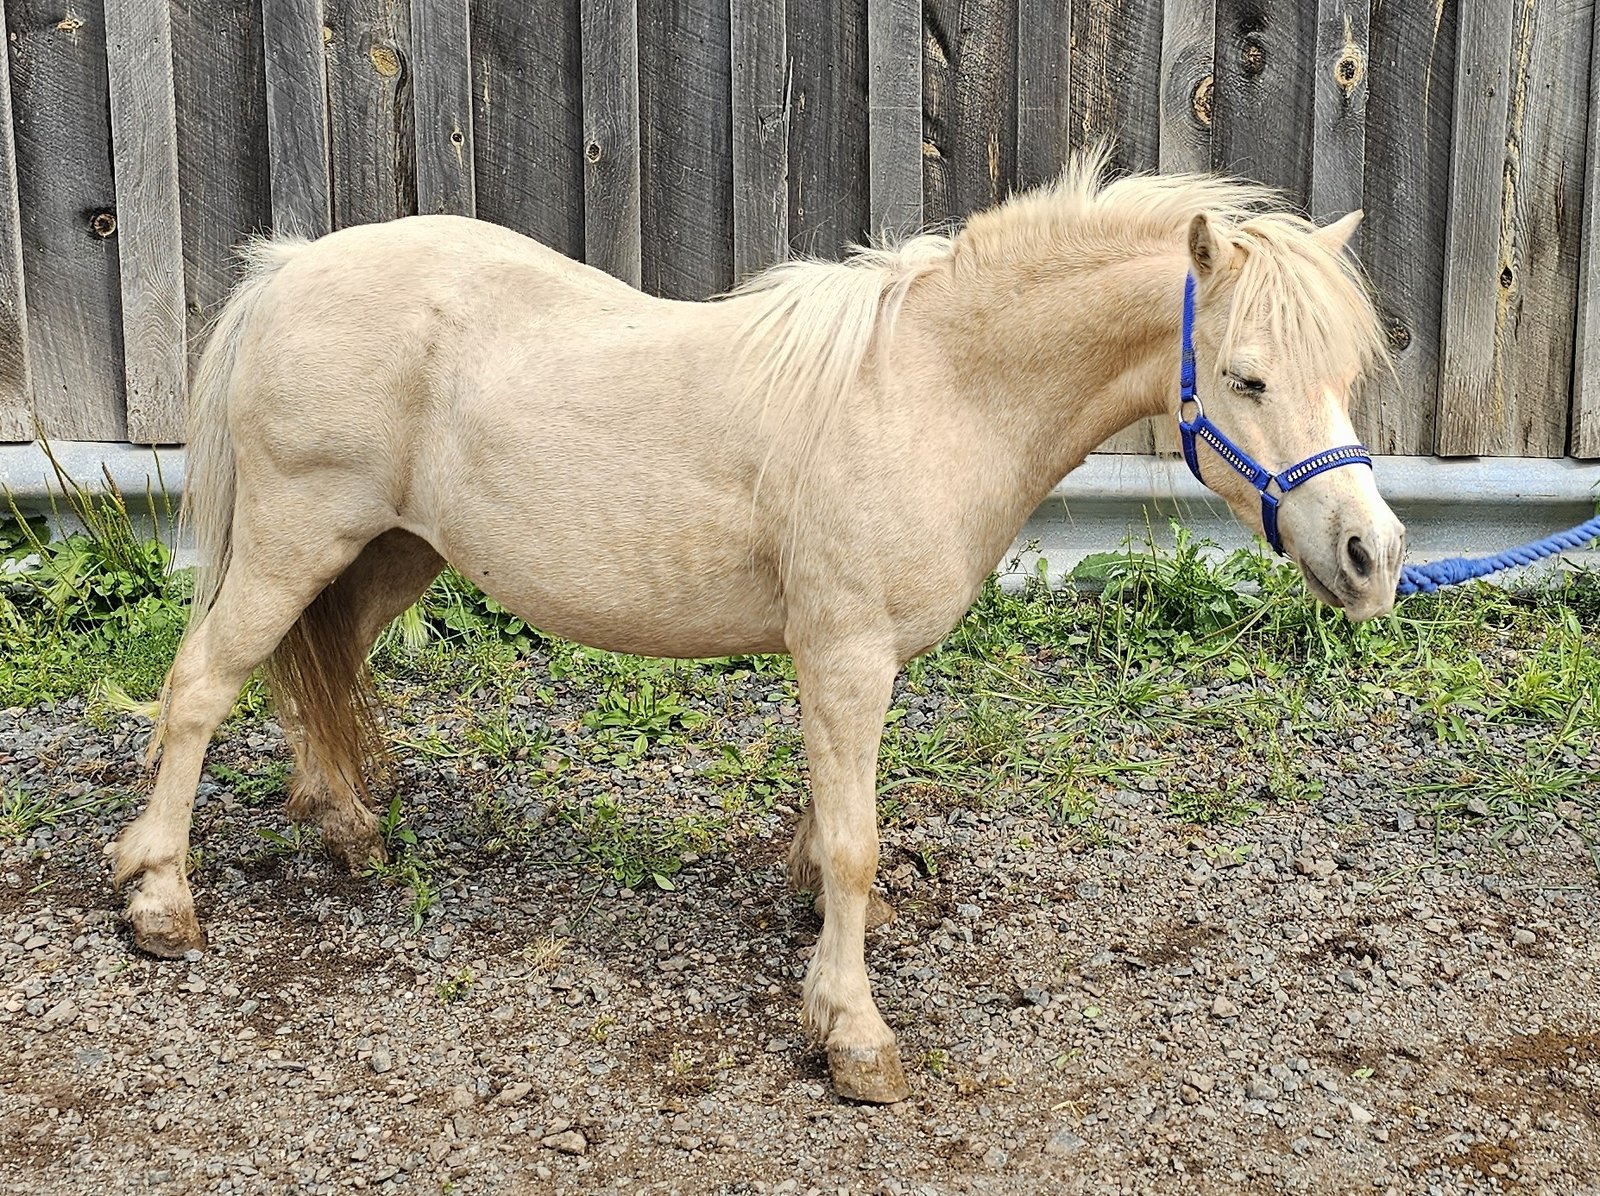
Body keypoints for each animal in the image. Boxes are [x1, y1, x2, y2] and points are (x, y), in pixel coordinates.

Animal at [108, 150, 1404, 1104]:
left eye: (1344, 372)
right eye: (1244, 377)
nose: (1373, 555)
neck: (933, 390)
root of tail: (288, 270)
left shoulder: (842, 659)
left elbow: (828, 820)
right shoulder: (846, 654)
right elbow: (855, 839)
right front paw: (853, 1034)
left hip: (386, 552)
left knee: (308, 665)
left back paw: (344, 827)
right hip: (296, 536)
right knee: (202, 684)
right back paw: (160, 900)